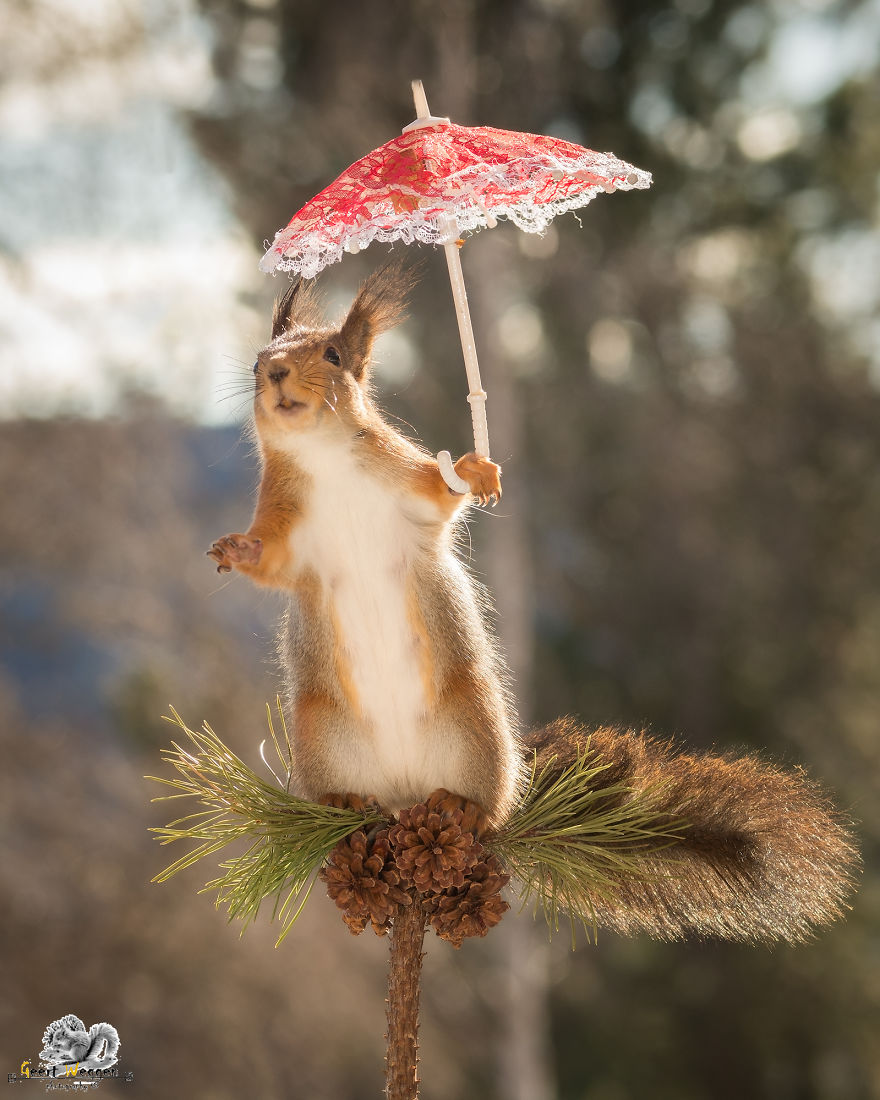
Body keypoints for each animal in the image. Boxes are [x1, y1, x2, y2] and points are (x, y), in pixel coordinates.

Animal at [209, 262, 523, 829]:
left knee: (486, 804)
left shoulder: (407, 483)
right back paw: (344, 802)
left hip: (476, 725)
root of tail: (404, 790)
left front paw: (474, 471)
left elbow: (439, 497)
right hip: (320, 735)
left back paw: (462, 805)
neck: (324, 454)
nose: (275, 372)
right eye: (255, 363)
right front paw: (237, 550)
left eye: (333, 355)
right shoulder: (286, 526)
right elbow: (272, 561)